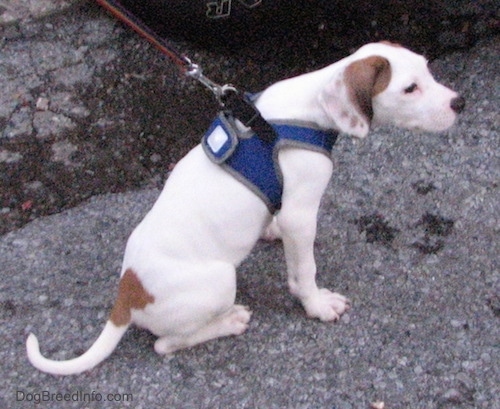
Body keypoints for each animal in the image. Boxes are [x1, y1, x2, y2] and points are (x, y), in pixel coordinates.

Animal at [27, 41, 464, 372]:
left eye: (428, 70)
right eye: (409, 89)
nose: (459, 103)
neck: (305, 109)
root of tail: (127, 296)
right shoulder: (301, 215)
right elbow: (305, 269)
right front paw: (316, 305)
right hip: (220, 280)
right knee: (166, 344)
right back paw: (229, 322)